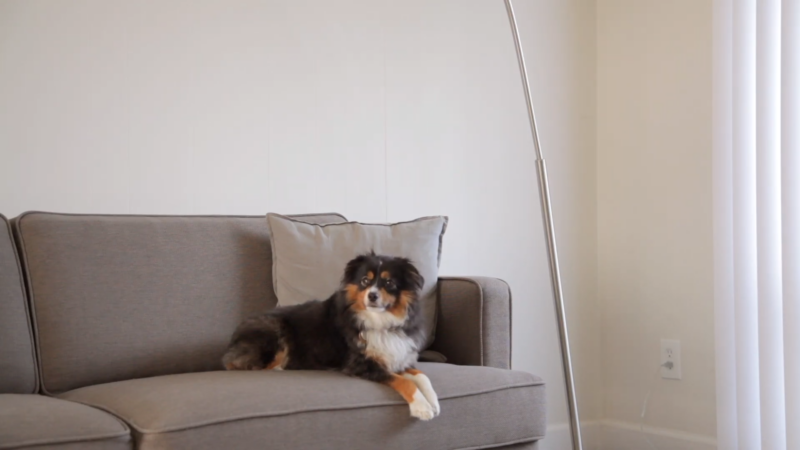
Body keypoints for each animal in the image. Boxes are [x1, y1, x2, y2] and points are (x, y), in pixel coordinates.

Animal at [222, 251, 440, 420]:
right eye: (365, 281)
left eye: (389, 282)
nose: (372, 295)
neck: (379, 321)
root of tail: (234, 337)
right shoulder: (361, 364)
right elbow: (404, 382)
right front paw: (422, 407)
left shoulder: (398, 358)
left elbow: (422, 376)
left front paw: (433, 401)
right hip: (274, 330)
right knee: (242, 365)